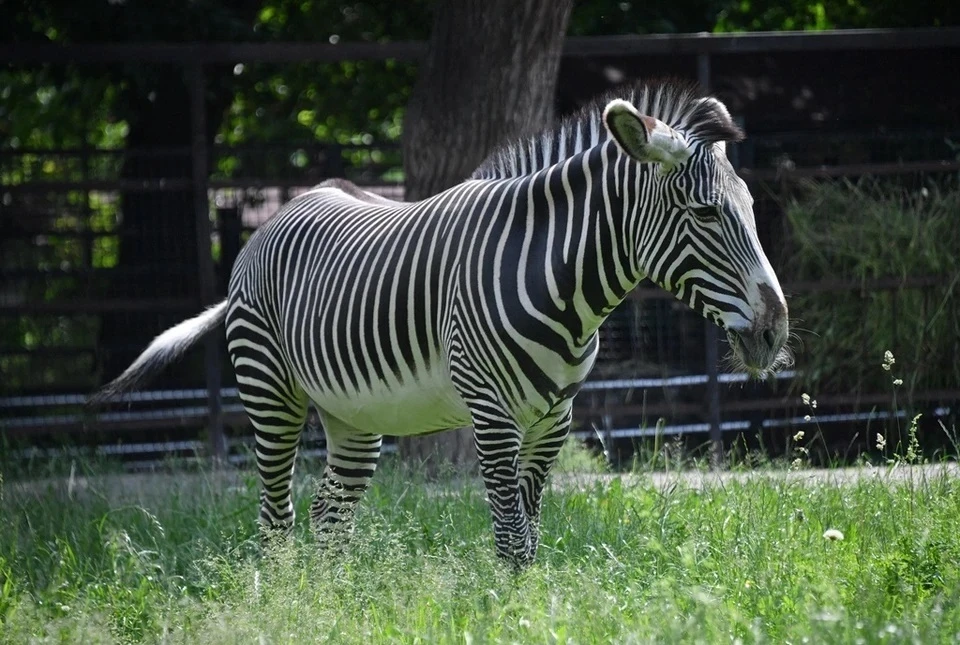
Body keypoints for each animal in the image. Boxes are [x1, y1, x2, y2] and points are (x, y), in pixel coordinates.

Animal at [94, 79, 792, 564]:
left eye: (752, 208)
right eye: (706, 214)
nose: (774, 332)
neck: (558, 282)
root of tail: (272, 220)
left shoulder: (554, 419)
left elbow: (529, 536)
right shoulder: (492, 413)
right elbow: (510, 539)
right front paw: (513, 618)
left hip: (353, 416)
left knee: (328, 514)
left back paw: (335, 607)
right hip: (270, 391)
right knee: (275, 516)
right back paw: (290, 605)